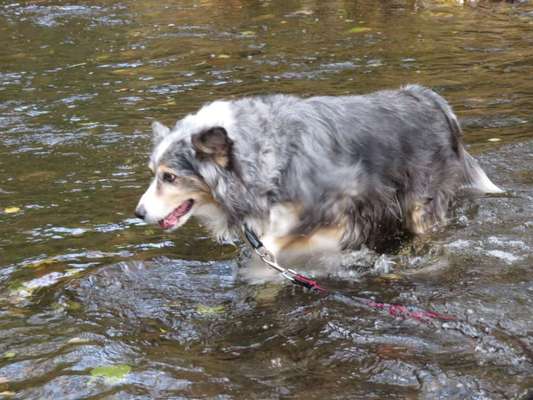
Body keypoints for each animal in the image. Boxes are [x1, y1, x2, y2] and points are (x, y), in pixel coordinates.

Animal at [135, 85, 500, 262]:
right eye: (154, 172)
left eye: (169, 177)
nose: (138, 213)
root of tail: (427, 97)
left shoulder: (344, 204)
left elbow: (283, 244)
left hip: (420, 205)